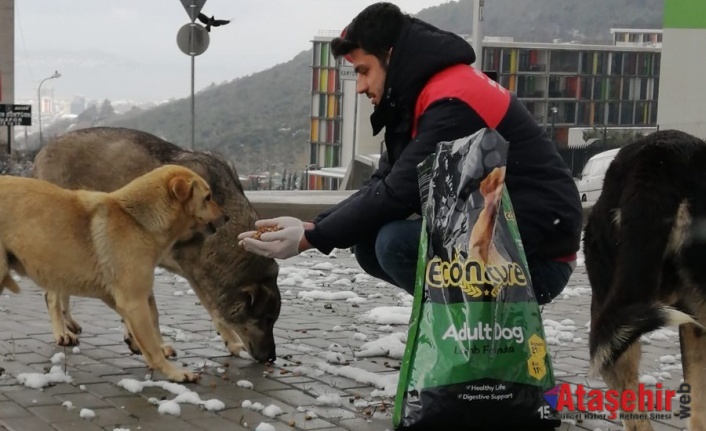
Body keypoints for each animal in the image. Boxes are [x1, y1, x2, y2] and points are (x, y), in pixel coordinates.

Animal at [0, 165, 223, 382]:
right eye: (208, 197)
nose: (226, 216)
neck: (138, 220)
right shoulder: (133, 300)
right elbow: (151, 342)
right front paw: (173, 372)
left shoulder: (120, 297)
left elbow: (148, 322)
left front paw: (140, 343)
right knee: (52, 299)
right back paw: (62, 333)